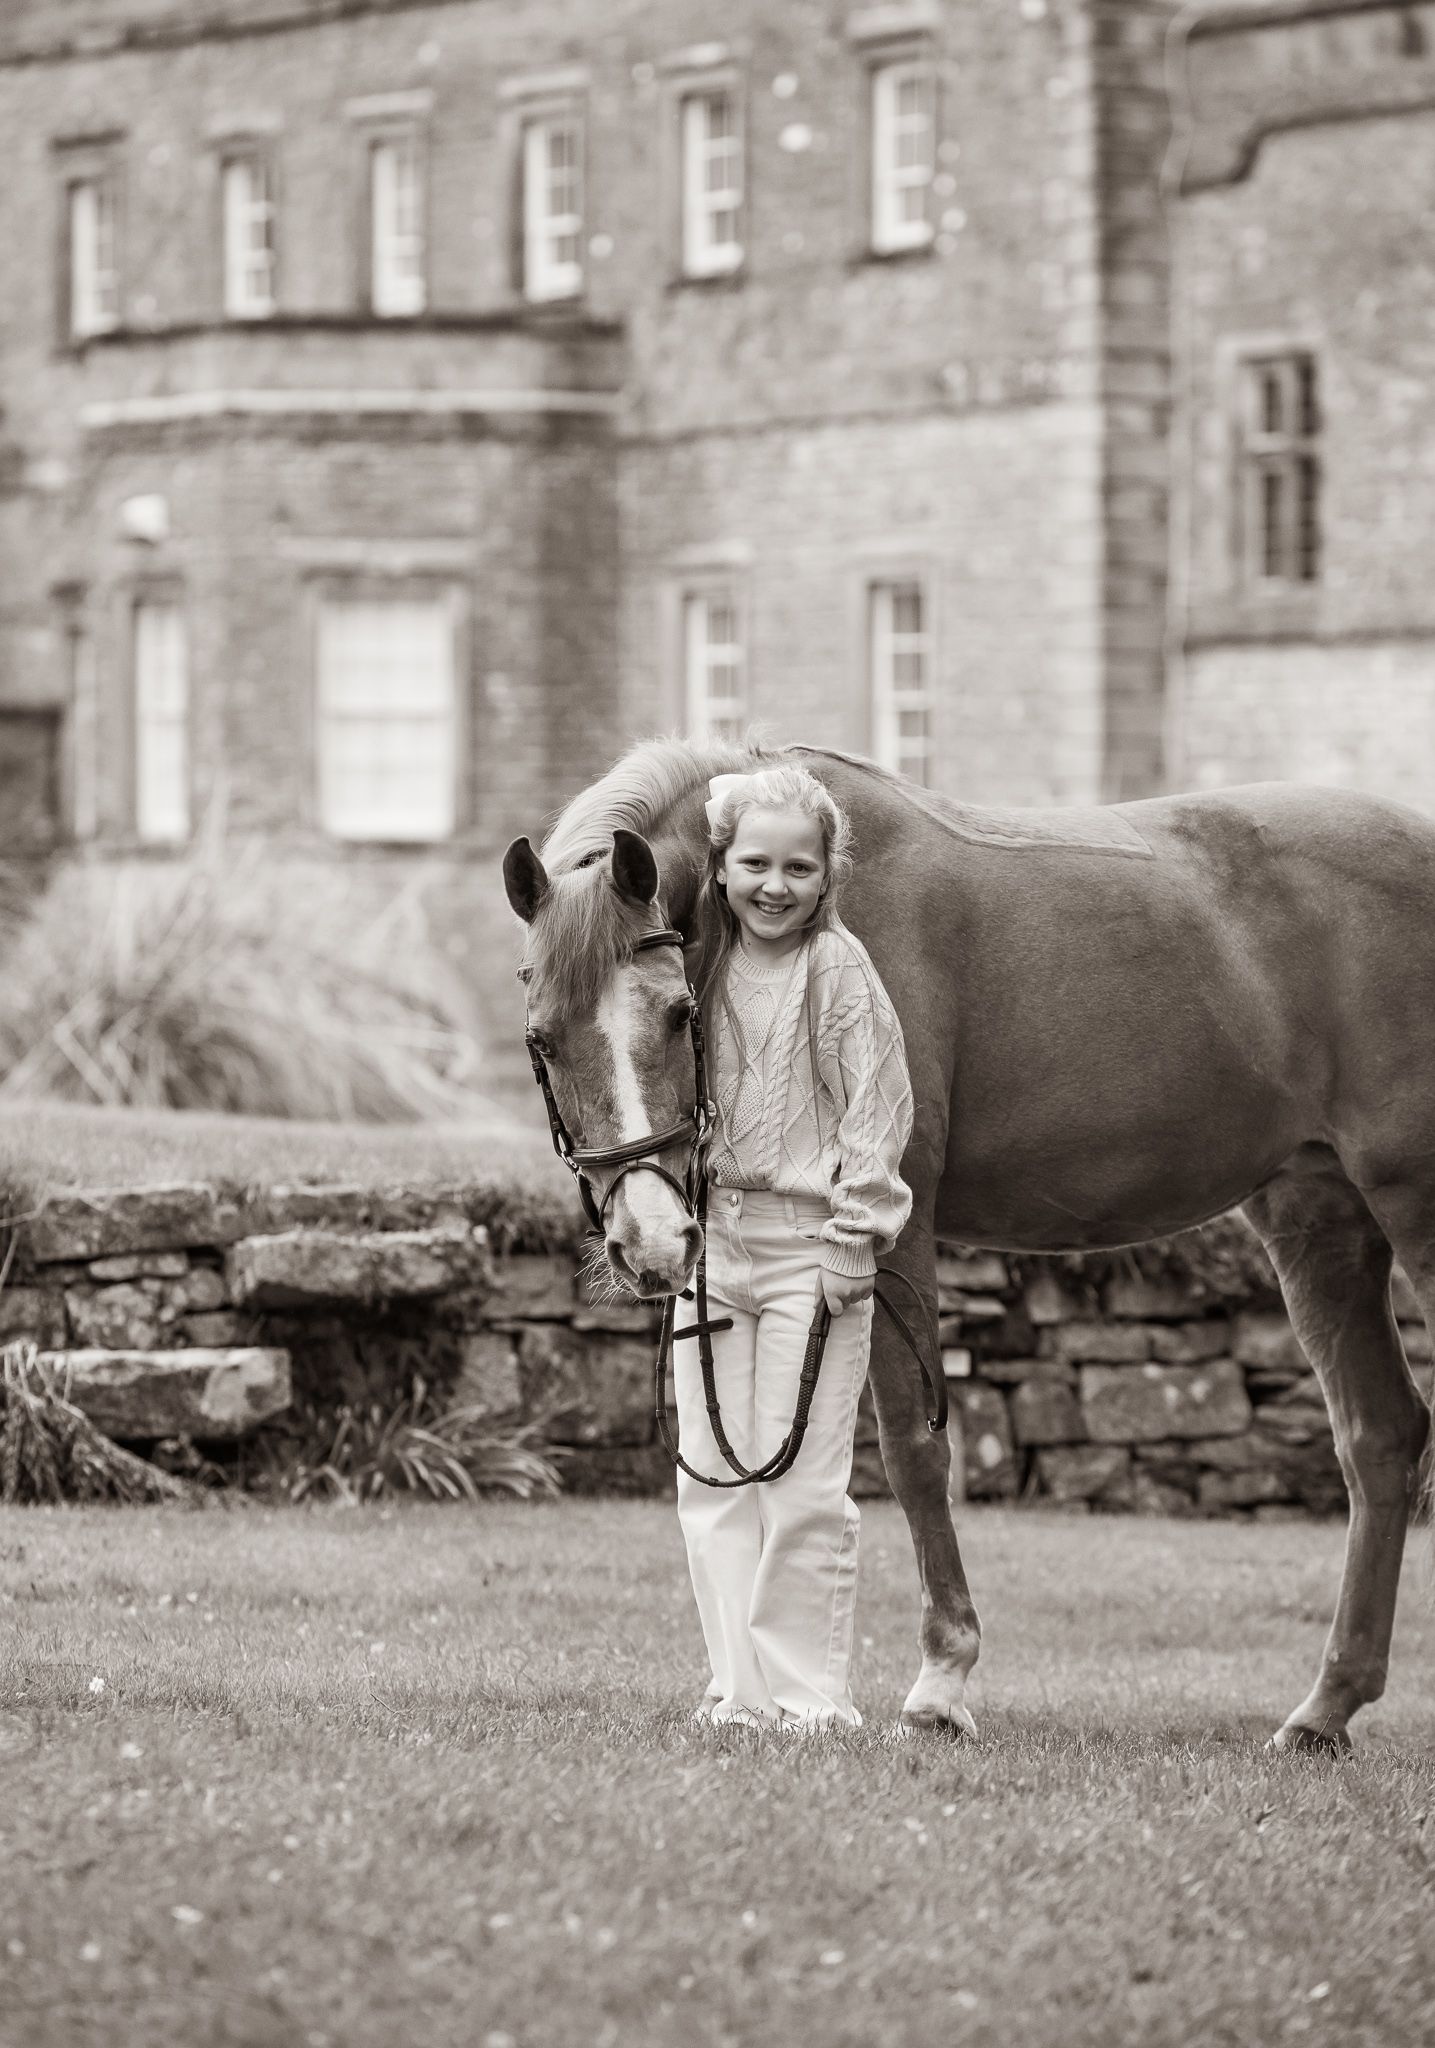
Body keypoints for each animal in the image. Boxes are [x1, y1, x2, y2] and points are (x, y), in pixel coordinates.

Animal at [503, 735, 1435, 1750]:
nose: (650, 1241)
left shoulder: (892, 1228)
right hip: (1318, 1219)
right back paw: (1324, 1710)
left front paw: (940, 1683)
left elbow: (914, 1453)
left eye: (679, 1014)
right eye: (542, 1040)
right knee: (1379, 1437)